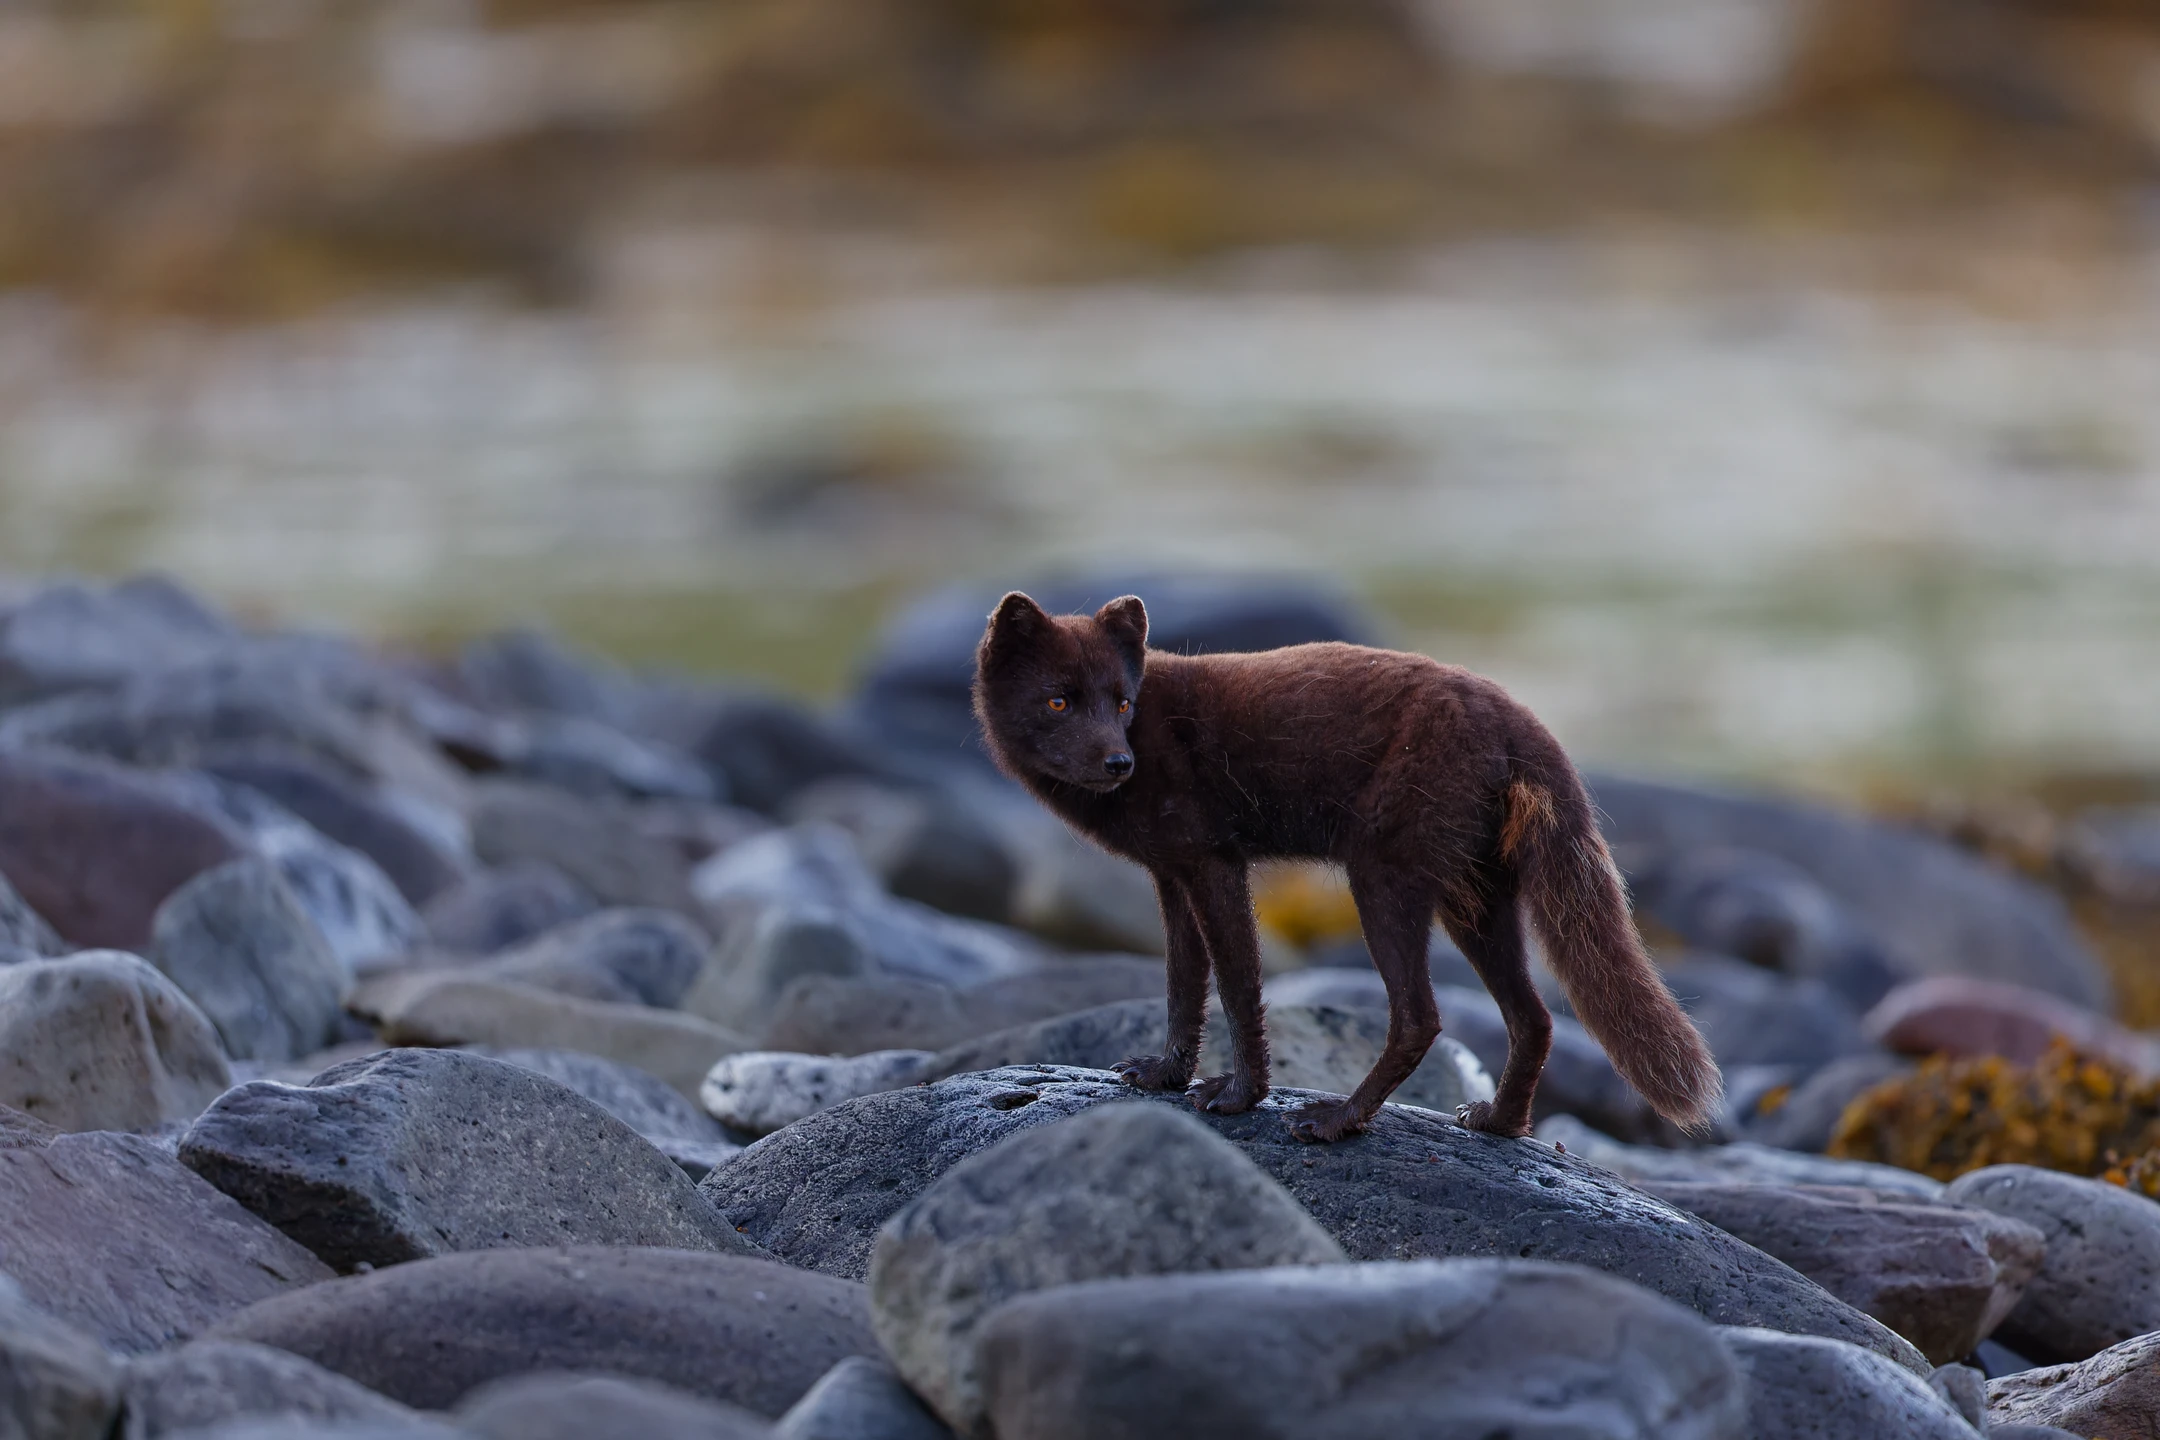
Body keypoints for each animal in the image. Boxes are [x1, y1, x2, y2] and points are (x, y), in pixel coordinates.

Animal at [971, 591, 1721, 1143]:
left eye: (1121, 702)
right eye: (1059, 700)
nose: (1117, 762)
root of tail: (1522, 721)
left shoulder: (1215, 862)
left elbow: (1239, 986)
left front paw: (1241, 1096)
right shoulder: (1171, 874)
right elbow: (1184, 984)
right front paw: (1165, 1076)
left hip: (1382, 877)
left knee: (1421, 1017)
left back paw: (1338, 1120)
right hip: (1475, 896)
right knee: (1534, 1017)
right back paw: (1499, 1124)